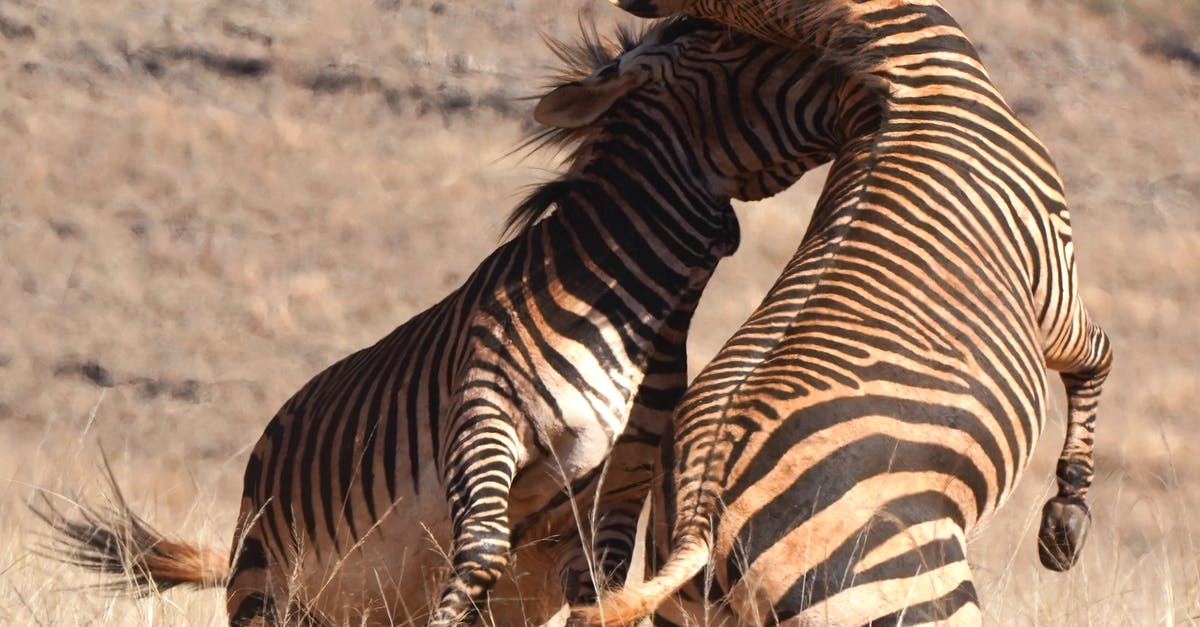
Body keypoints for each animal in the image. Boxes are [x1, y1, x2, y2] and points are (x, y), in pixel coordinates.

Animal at [35, 14, 864, 624]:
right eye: (722, 42)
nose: (858, 66)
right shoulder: (483, 419)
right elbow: (482, 553)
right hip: (269, 581)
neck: (639, 299)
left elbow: (601, 591)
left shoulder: (618, 481)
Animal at [571, 2, 1113, 619]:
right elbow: (1097, 360)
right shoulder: (1054, 284)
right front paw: (1066, 521)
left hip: (691, 607)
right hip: (903, 589)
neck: (899, 71)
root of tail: (697, 515)